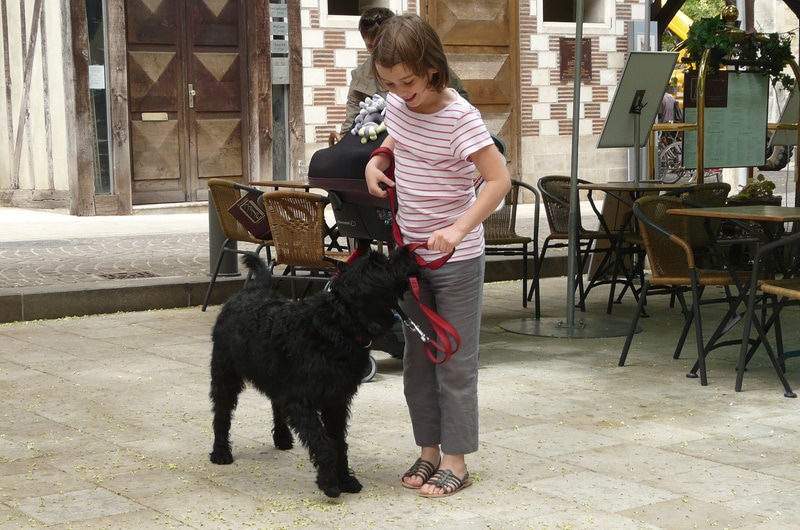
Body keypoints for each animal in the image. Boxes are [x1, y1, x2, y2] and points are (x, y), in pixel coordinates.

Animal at [206, 248, 418, 496]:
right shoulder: (300, 400)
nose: (408, 250)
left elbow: (338, 442)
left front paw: (345, 479)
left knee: (276, 404)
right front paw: (329, 483)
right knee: (222, 413)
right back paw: (220, 452)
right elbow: (323, 443)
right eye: (384, 264)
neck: (336, 327)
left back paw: (282, 437)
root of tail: (253, 289)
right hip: (225, 375)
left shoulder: (336, 400)